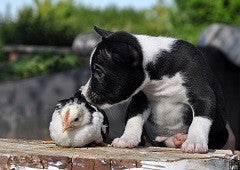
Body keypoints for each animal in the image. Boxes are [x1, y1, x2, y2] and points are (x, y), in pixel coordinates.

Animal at [82, 26, 234, 153]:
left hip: (223, 132)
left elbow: (200, 120)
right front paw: (127, 138)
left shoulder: (203, 96)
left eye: (98, 72)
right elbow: (134, 120)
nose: (84, 92)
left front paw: (195, 142)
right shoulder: (140, 101)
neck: (159, 74)